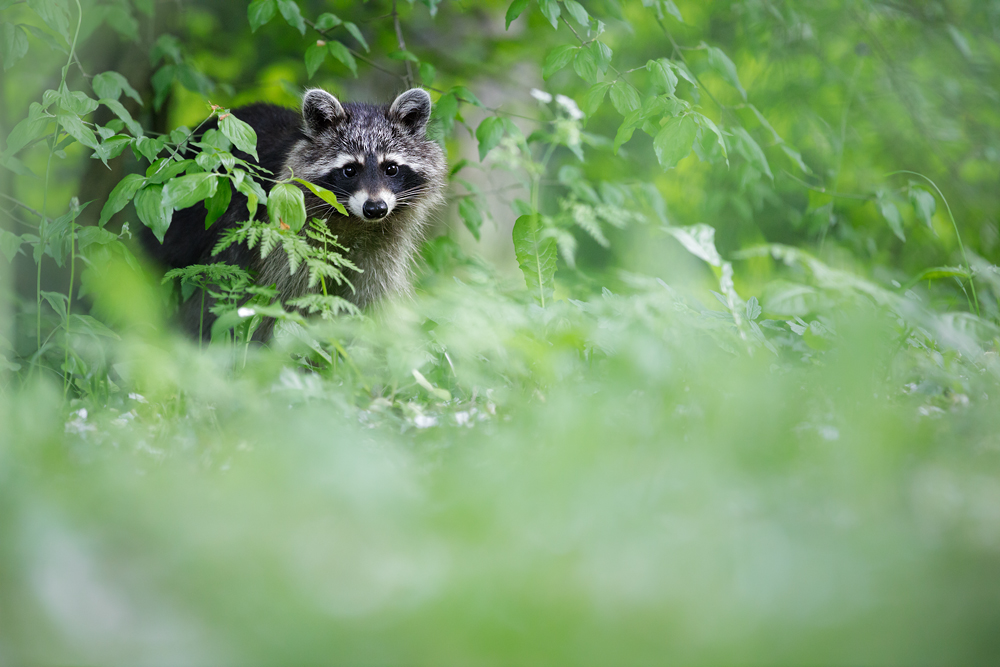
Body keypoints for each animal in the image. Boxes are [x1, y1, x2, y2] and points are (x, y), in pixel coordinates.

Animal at [143, 87, 448, 340]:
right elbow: (283, 302)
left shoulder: (384, 243)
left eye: (391, 168)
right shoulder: (288, 235)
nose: (375, 209)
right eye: (350, 170)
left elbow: (370, 296)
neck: (354, 221)